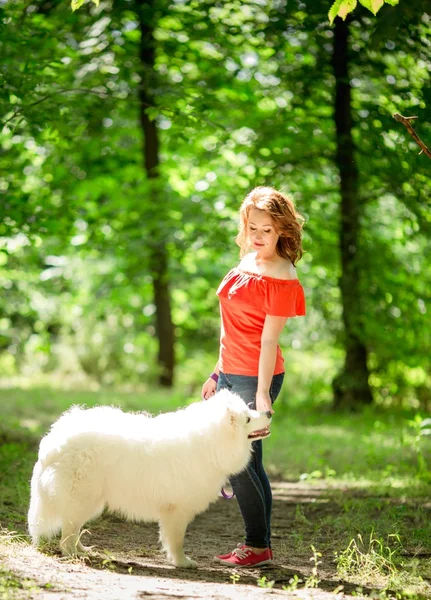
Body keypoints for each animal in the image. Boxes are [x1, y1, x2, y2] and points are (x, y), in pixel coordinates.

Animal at [27, 390, 272, 568]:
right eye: (248, 419)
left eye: (250, 410)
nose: (269, 412)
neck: (211, 442)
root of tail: (54, 440)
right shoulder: (177, 510)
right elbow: (176, 540)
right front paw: (183, 562)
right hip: (81, 496)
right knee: (68, 533)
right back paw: (73, 555)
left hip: (88, 500)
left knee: (74, 529)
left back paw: (81, 550)